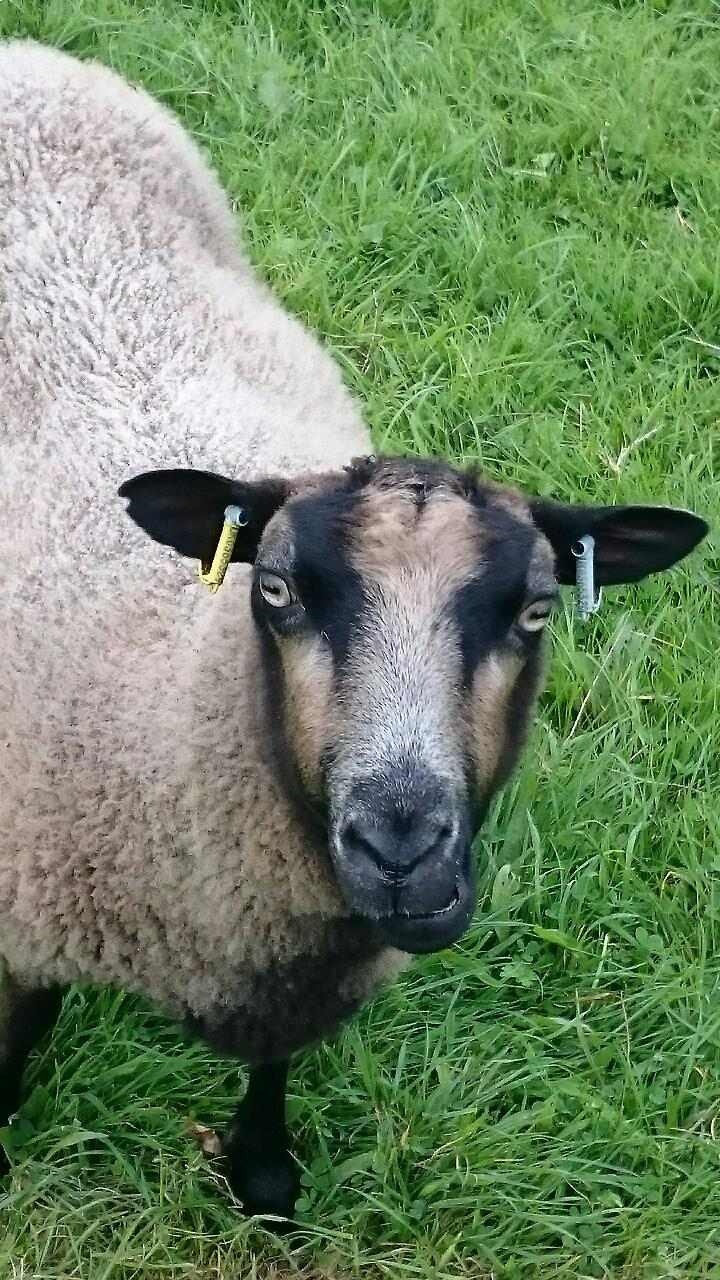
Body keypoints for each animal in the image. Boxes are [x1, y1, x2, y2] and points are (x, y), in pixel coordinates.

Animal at [0, 40, 708, 1223]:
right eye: (277, 590)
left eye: (536, 608)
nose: (402, 853)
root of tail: (30, 55)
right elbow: (17, 1041)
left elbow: (276, 1063)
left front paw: (262, 1170)